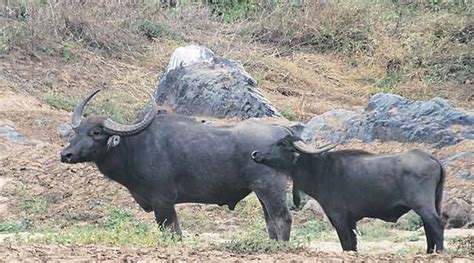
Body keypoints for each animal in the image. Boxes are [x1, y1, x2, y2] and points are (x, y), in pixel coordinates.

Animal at [59, 90, 292, 241]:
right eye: (77, 131)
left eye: (96, 132)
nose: (65, 154)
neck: (135, 147)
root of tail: (284, 135)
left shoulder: (162, 201)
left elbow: (172, 233)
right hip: (262, 193)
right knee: (270, 221)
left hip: (270, 188)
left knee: (282, 219)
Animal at [252, 136, 444, 254]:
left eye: (283, 143)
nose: (255, 153)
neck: (322, 170)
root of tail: (430, 158)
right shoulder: (352, 221)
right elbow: (353, 245)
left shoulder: (339, 218)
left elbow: (346, 244)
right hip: (434, 203)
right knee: (428, 226)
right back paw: (429, 252)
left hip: (423, 205)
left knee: (436, 223)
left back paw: (439, 251)